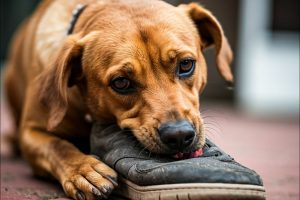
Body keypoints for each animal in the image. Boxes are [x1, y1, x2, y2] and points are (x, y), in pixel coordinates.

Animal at [5, 0, 234, 199]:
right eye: (121, 82)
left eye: (186, 64)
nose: (179, 135)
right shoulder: (30, 131)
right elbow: (57, 146)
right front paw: (83, 170)